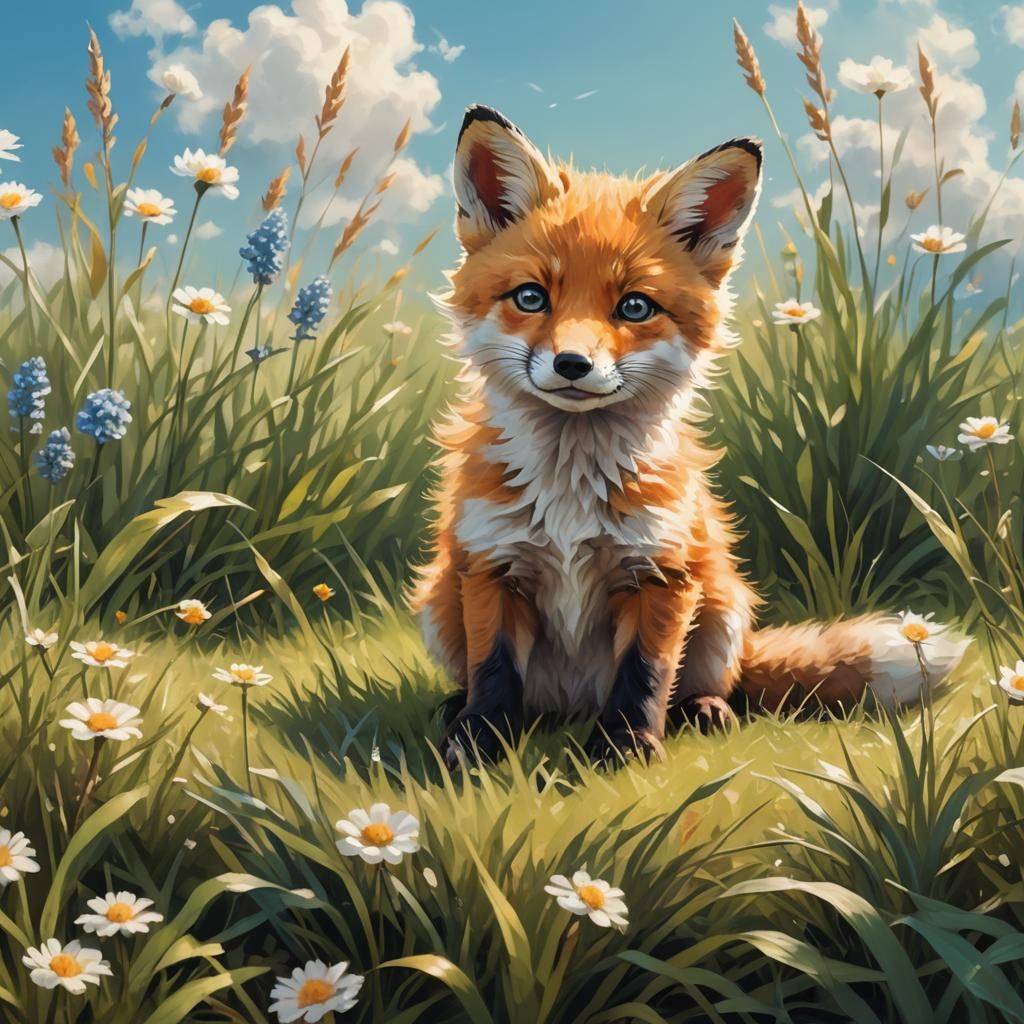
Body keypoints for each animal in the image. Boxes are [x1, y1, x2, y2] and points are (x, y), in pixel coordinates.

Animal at [412, 104, 968, 768]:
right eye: (530, 296)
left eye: (634, 307)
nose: (572, 364)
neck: (571, 494)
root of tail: (570, 707)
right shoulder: (491, 568)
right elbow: (494, 671)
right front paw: (478, 743)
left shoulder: (661, 572)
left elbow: (646, 673)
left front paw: (626, 746)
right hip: (438, 601)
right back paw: (456, 709)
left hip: (723, 607)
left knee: (712, 683)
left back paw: (704, 710)